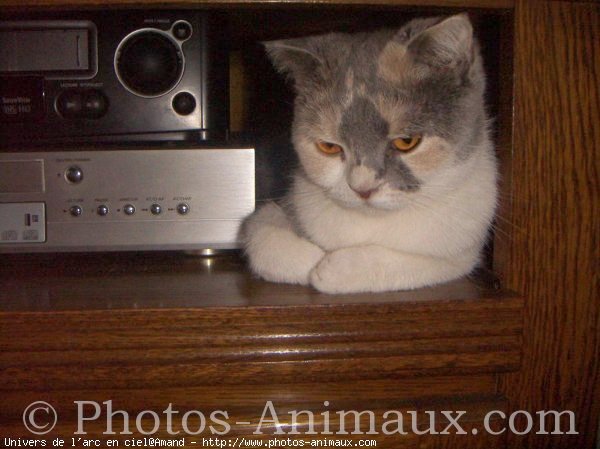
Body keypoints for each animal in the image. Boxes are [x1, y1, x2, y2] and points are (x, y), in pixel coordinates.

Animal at [241, 14, 500, 292]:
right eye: (329, 147)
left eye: (407, 142)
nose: (362, 188)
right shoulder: (280, 206)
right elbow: (262, 234)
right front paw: (310, 260)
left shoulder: (463, 253)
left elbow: (418, 264)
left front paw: (334, 269)